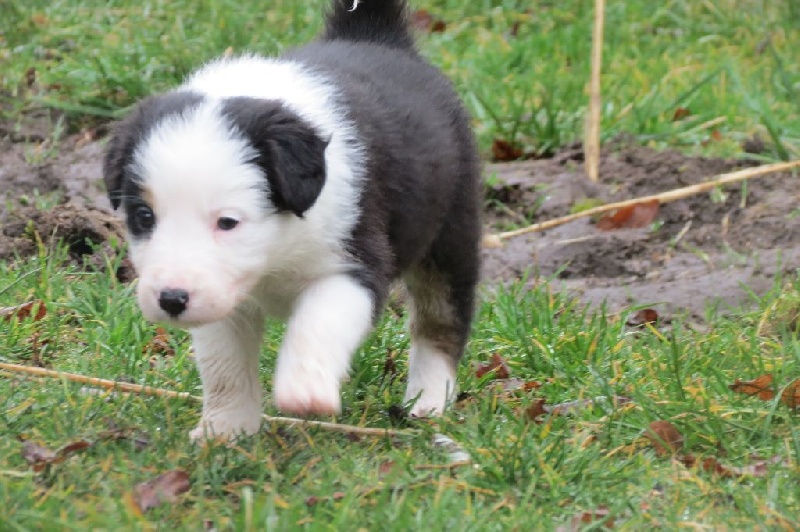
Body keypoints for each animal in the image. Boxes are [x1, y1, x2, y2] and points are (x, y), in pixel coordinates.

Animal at [103, 0, 481, 440]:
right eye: (144, 216)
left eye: (227, 222)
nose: (172, 300)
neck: (276, 254)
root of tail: (374, 34)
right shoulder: (222, 298)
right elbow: (224, 365)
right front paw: (224, 431)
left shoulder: (354, 264)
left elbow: (318, 320)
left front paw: (304, 390)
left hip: (450, 233)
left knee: (441, 322)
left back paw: (428, 402)